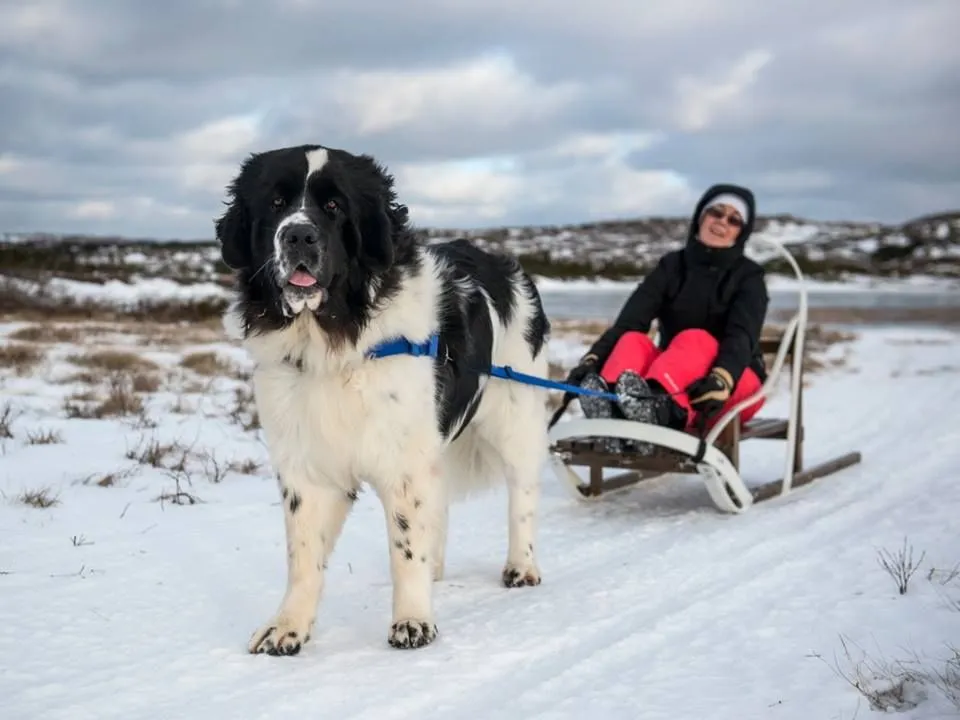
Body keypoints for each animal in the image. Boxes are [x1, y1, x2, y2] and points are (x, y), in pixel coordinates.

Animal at [215, 143, 552, 656]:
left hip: (516, 418)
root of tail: (508, 267)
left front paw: (413, 621)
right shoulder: (307, 464)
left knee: (522, 496)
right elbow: (303, 554)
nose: (298, 235)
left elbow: (405, 546)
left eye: (334, 207)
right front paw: (287, 626)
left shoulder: (404, 461)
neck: (332, 344)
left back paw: (522, 566)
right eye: (274, 203)